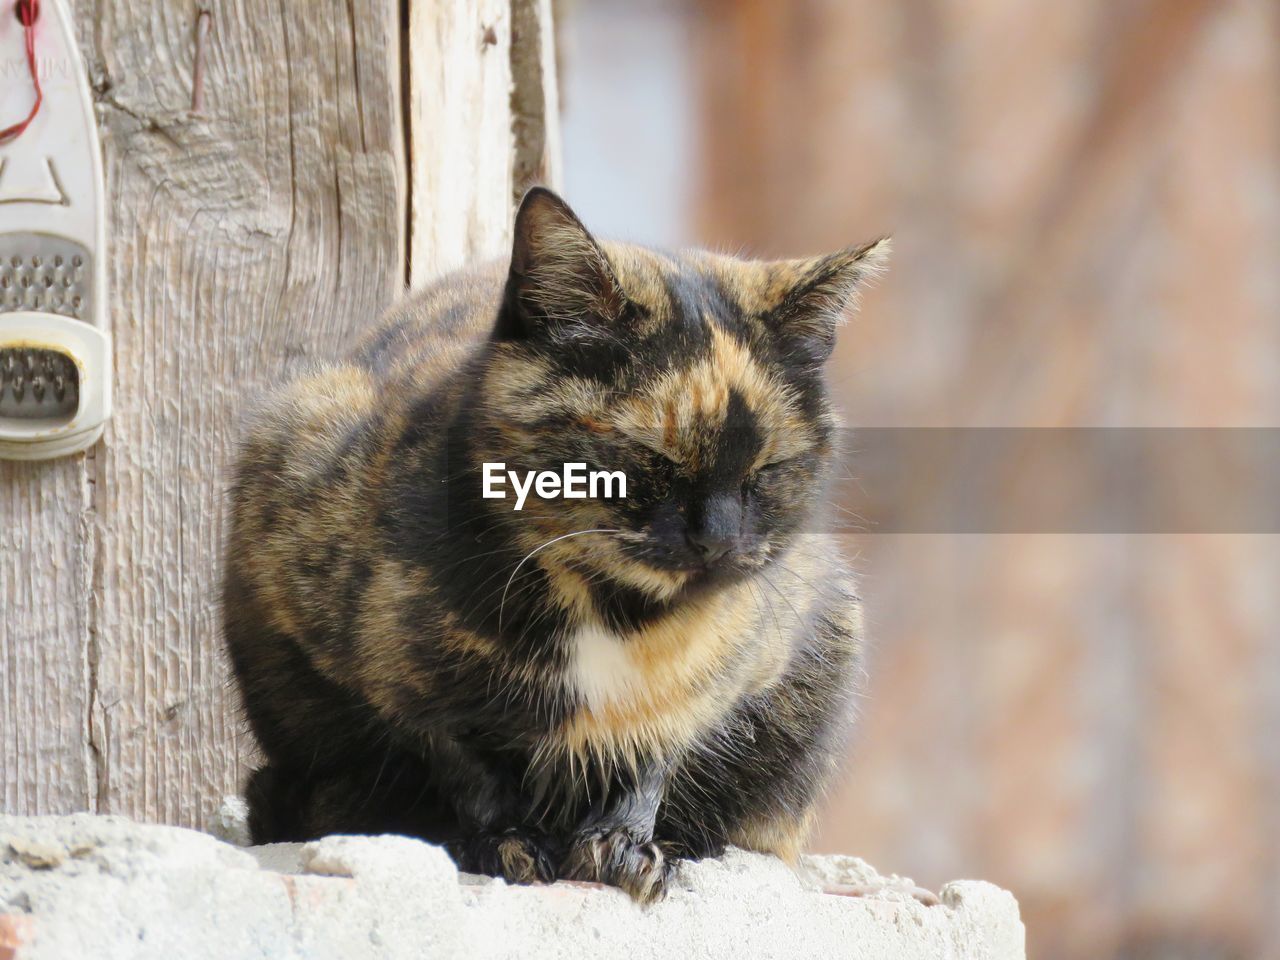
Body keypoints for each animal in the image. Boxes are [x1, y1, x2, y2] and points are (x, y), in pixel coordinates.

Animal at [225, 188, 885, 901]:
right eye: (650, 457)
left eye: (766, 468)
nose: (718, 539)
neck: (608, 607)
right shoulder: (389, 671)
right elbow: (462, 758)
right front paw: (507, 842)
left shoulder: (718, 681)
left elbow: (654, 757)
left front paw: (623, 847)